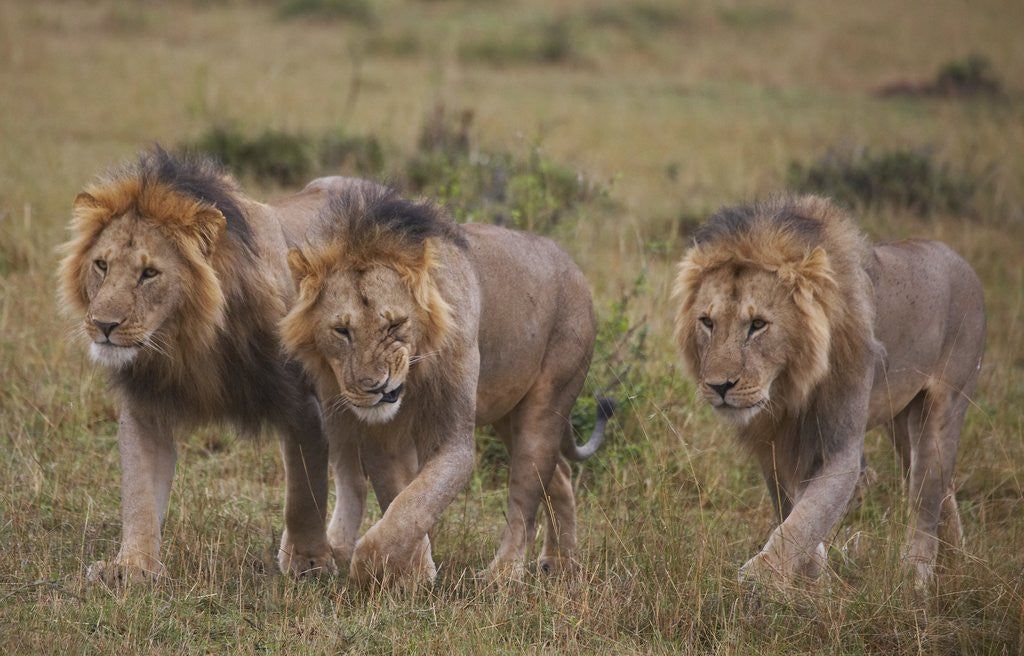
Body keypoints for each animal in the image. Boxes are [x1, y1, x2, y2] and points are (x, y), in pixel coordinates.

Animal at [57, 147, 364, 584]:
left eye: (149, 273)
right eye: (101, 265)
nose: (103, 325)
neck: (188, 341)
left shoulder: (303, 407)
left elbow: (305, 494)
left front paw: (308, 562)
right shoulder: (145, 409)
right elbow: (139, 494)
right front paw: (131, 567)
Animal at [280, 185, 610, 584]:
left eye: (395, 325)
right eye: (342, 330)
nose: (374, 386)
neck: (413, 376)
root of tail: (573, 267)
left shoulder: (453, 440)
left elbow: (415, 503)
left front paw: (371, 568)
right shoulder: (384, 440)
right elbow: (402, 500)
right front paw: (415, 572)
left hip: (548, 400)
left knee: (526, 493)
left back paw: (504, 574)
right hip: (507, 412)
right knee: (559, 473)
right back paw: (561, 562)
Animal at [673, 195, 985, 591]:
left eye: (758, 324)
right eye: (707, 322)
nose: (719, 386)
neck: (788, 389)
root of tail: (962, 261)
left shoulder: (841, 449)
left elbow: (804, 519)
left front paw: (755, 582)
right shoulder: (774, 446)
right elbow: (793, 513)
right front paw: (814, 581)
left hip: (945, 407)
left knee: (926, 494)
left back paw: (917, 577)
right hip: (901, 424)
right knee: (944, 487)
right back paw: (960, 561)